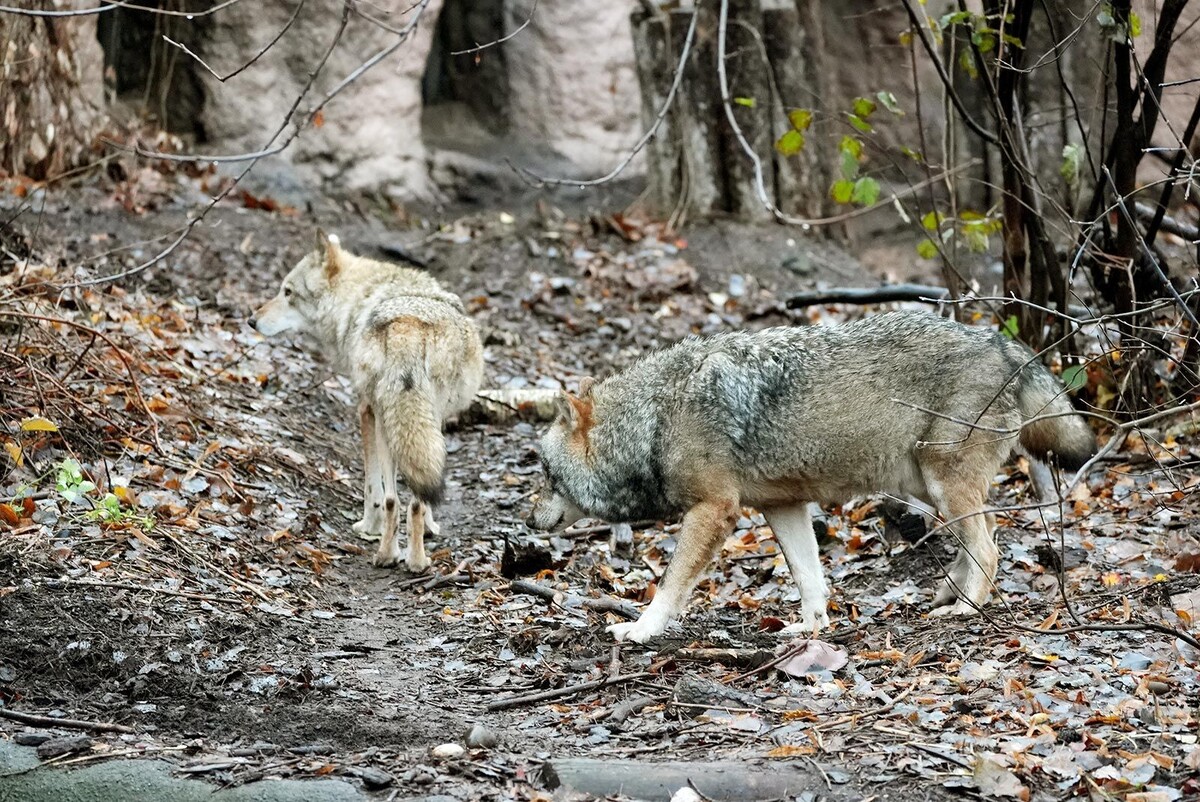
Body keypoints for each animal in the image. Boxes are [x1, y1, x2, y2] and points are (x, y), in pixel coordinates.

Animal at [251, 232, 483, 571]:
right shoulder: (423, 422)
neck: (359, 298)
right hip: (406, 422)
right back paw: (412, 560)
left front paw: (368, 526)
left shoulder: (365, 410)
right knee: (404, 499)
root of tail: (406, 322)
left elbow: (371, 485)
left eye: (287, 292)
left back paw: (393, 556)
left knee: (395, 498)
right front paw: (424, 527)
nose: (251, 320)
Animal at [526, 312, 1095, 644]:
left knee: (991, 547)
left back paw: (965, 609)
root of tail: (1005, 342)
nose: (528, 519)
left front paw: (641, 630)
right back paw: (947, 594)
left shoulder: (714, 510)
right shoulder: (782, 507)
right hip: (927, 487)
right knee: (981, 539)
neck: (655, 419)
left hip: (942, 487)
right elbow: (808, 577)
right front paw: (812, 627)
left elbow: (669, 586)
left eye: (545, 474)